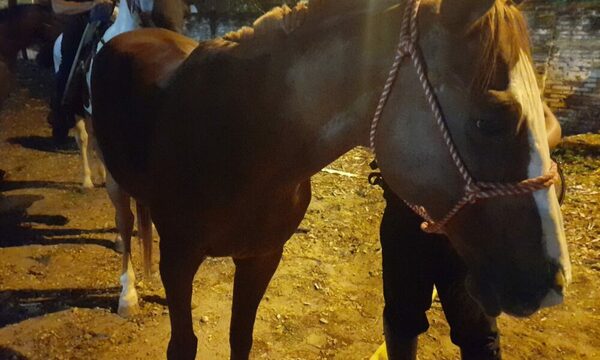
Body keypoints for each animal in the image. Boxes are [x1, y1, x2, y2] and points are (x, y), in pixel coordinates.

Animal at [91, 0, 568, 358]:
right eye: (489, 121)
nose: (552, 282)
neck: (242, 137)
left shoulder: (262, 257)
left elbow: (239, 338)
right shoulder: (179, 258)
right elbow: (183, 345)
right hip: (113, 183)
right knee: (125, 226)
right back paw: (128, 295)